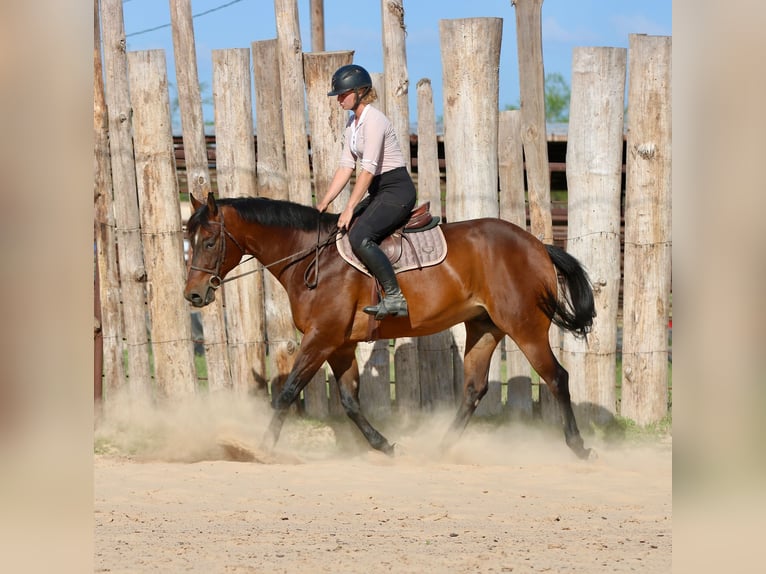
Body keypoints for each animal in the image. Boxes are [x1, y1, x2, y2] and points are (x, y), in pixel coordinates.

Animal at [184, 193, 596, 460]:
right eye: (189, 239)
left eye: (209, 242)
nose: (193, 295)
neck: (313, 260)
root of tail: (537, 246)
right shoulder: (339, 345)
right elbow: (350, 401)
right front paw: (383, 445)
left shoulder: (321, 339)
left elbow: (286, 392)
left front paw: (262, 449)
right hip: (484, 328)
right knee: (473, 389)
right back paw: (441, 449)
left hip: (525, 327)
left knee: (557, 377)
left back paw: (578, 446)